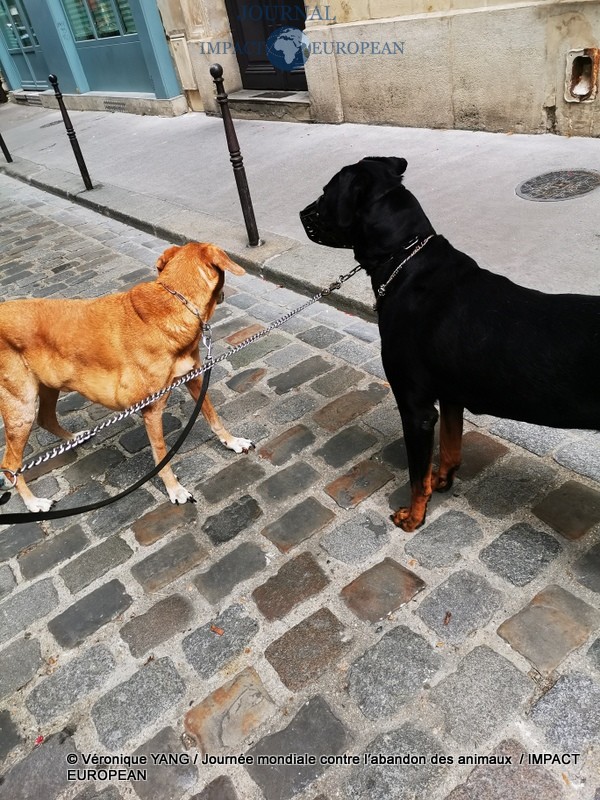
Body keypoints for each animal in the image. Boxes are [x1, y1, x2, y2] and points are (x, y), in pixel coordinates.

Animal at [0, 241, 253, 512]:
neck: (174, 303)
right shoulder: (152, 410)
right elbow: (161, 454)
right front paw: (174, 489)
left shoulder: (194, 379)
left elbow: (213, 416)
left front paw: (232, 442)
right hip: (21, 408)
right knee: (10, 466)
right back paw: (33, 502)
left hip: (48, 385)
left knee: (46, 418)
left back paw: (74, 438)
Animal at [300, 156, 600, 532]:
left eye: (327, 192)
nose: (302, 212)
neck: (404, 260)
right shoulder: (451, 396)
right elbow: (450, 447)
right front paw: (440, 482)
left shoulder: (416, 408)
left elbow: (416, 475)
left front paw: (413, 517)